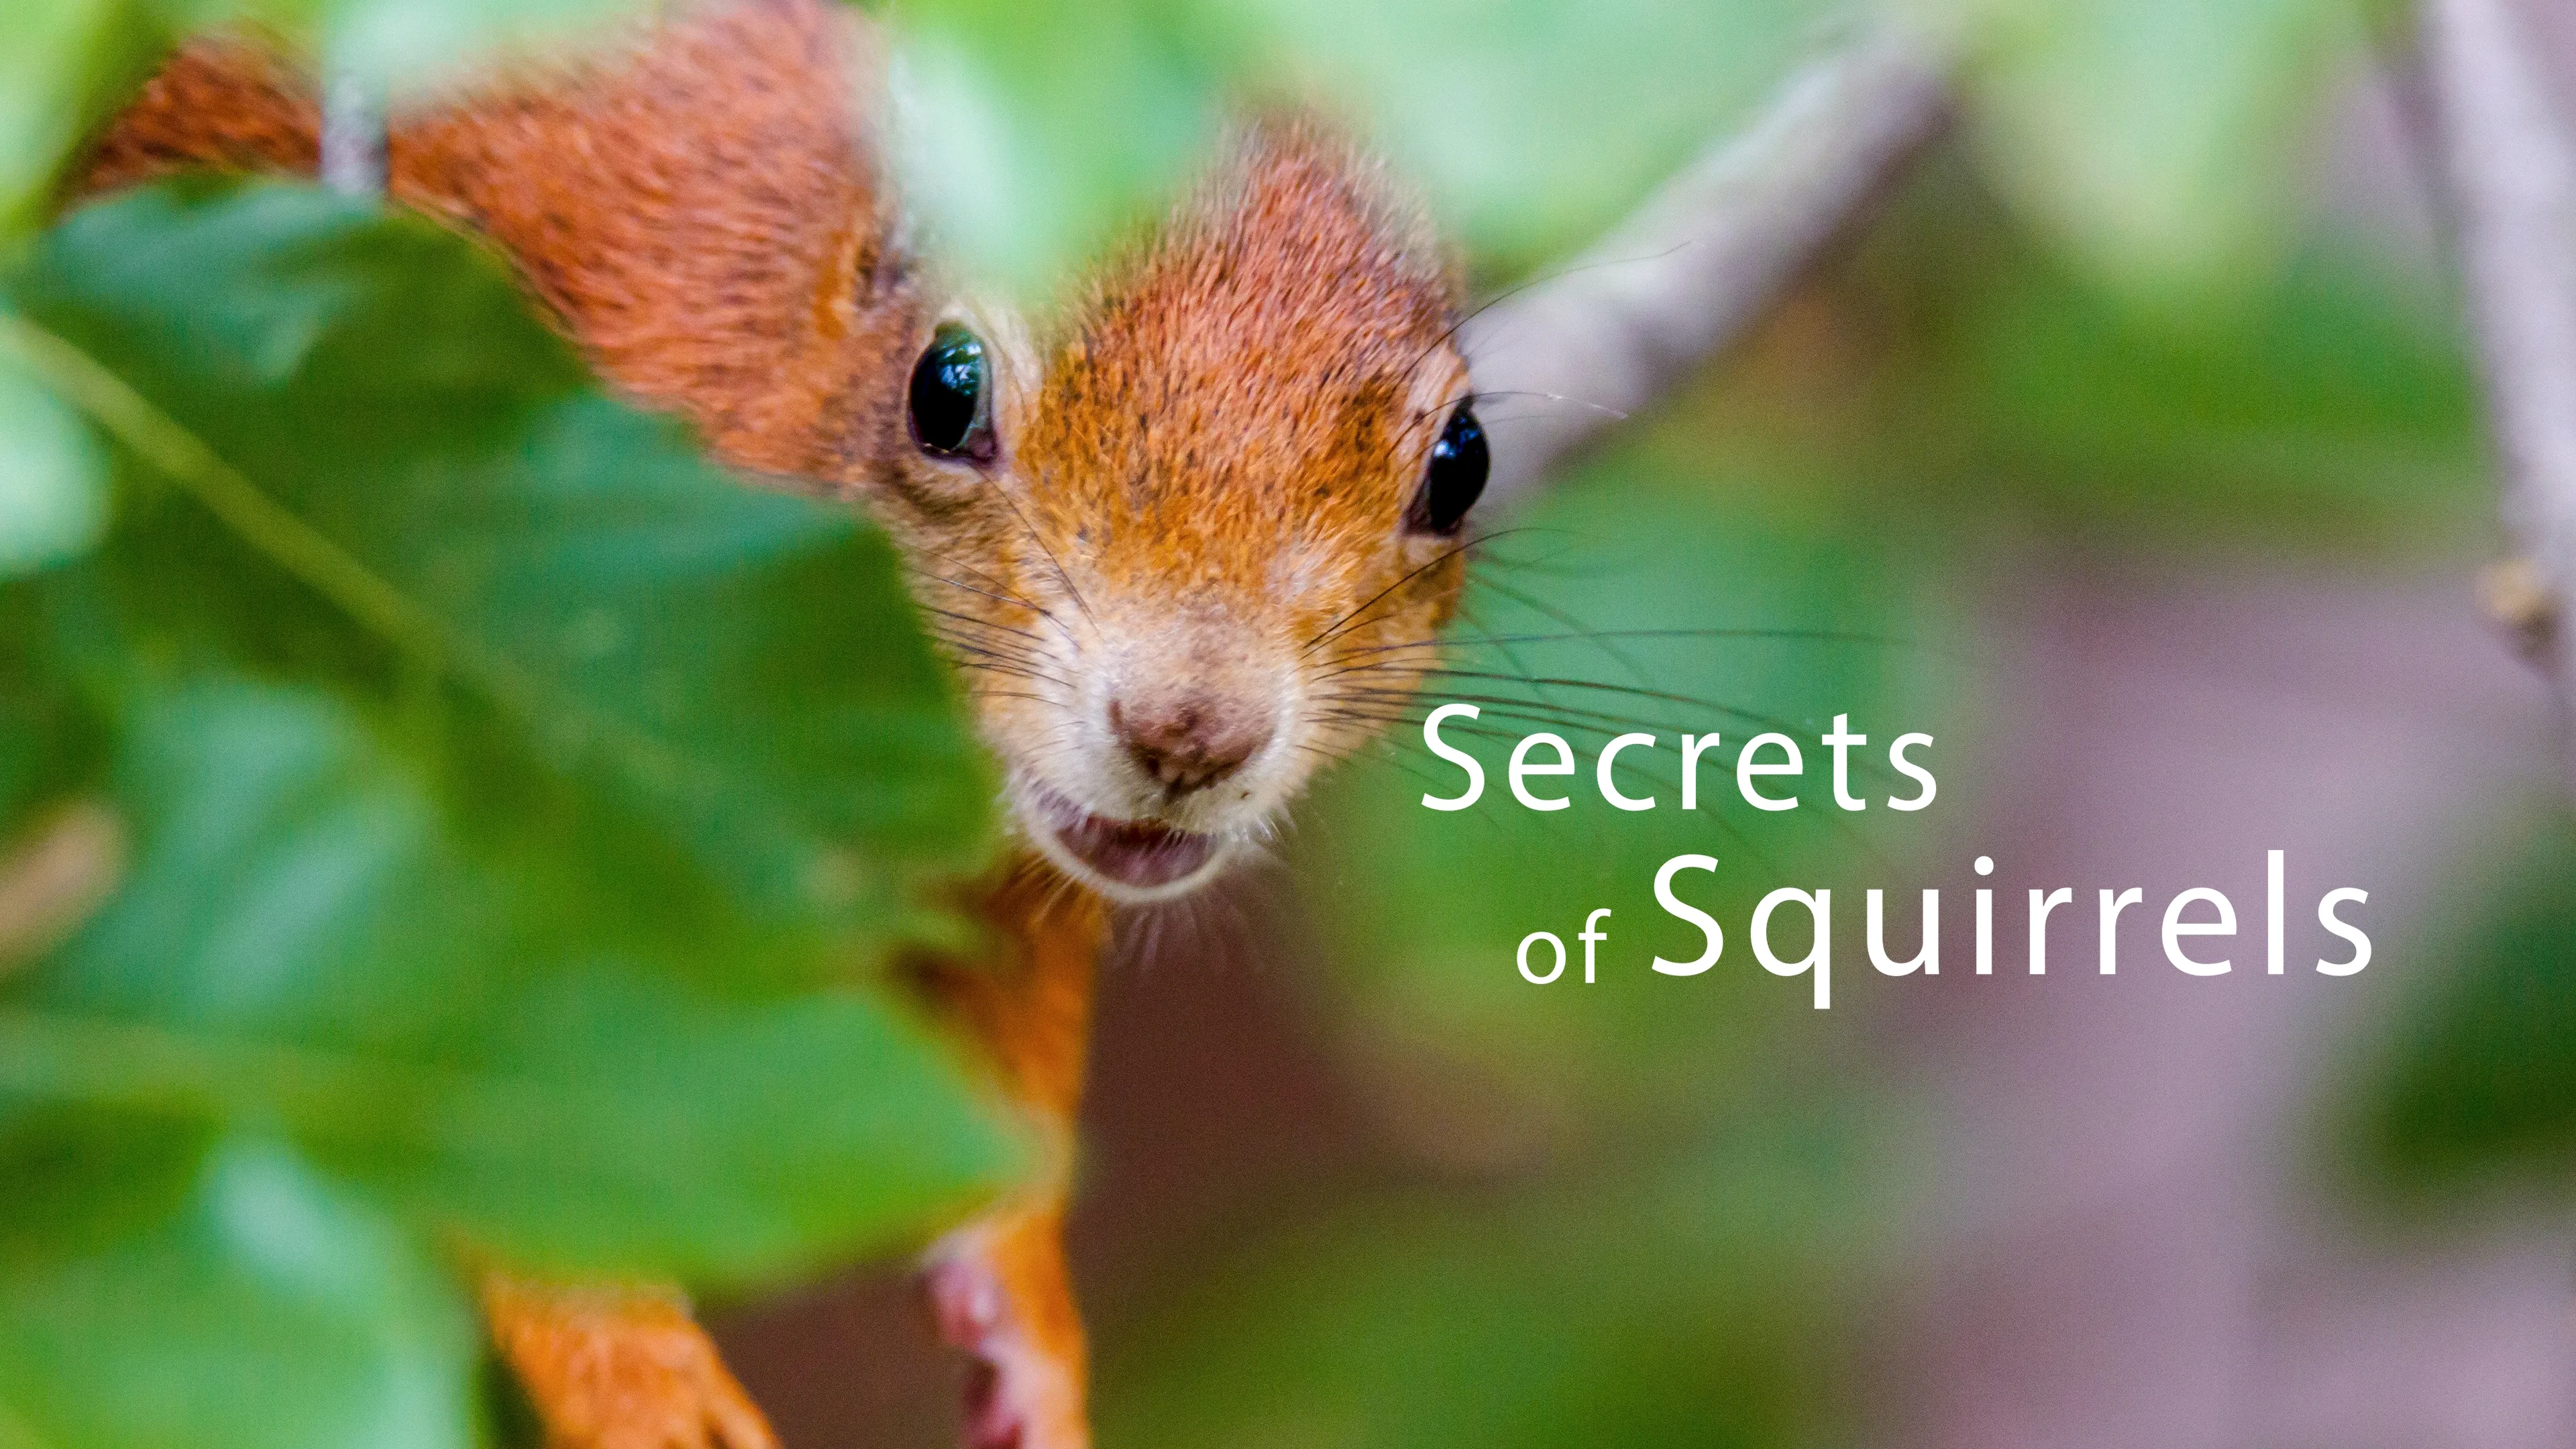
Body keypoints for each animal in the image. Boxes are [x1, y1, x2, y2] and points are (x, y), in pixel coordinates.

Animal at [77, 1, 1487, 1445]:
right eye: (944, 391)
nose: (1190, 733)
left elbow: (1002, 1082)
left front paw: (1031, 1317)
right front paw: (641, 1389)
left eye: (1461, 463)